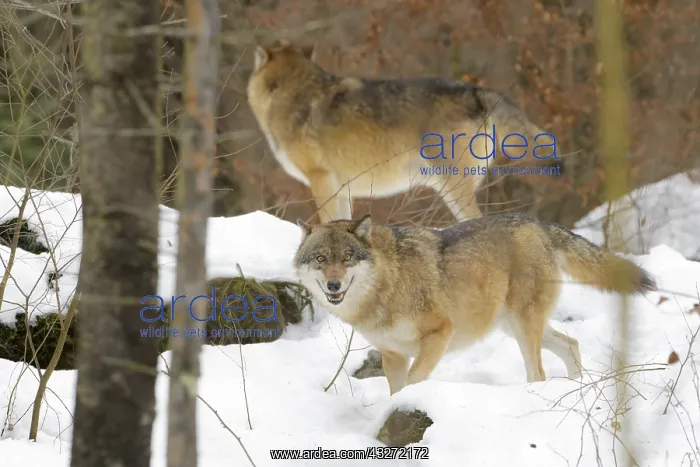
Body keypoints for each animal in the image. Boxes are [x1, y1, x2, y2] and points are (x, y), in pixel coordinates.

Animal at [294, 213, 655, 395]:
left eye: (347, 258)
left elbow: (413, 382)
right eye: (321, 259)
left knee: (538, 373)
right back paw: (576, 388)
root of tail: (537, 223)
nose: (334, 285)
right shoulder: (392, 355)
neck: (387, 284)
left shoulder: (440, 332)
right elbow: (396, 391)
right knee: (571, 344)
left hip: (523, 329)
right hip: (515, 327)